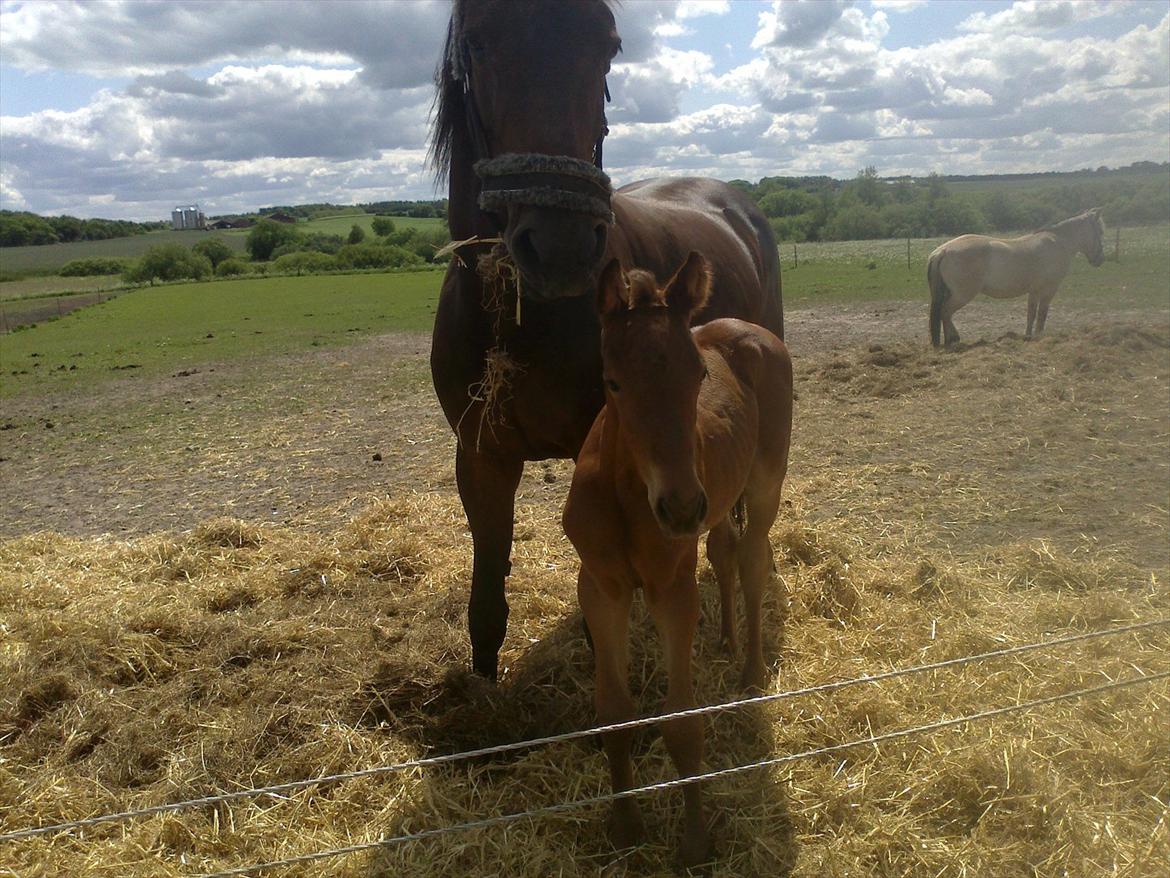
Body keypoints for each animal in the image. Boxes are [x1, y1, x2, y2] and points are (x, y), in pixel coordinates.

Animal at [430, 0, 786, 678]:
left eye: (609, 45)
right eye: (479, 43)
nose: (561, 247)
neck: (522, 317)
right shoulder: (481, 457)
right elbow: (486, 605)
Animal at [559, 252, 795, 866]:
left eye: (698, 377)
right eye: (613, 381)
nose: (682, 506)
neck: (627, 493)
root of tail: (753, 330)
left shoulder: (672, 590)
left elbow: (683, 723)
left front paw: (694, 843)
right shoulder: (601, 588)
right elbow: (615, 714)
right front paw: (625, 829)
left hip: (764, 482)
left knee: (754, 558)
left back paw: (751, 670)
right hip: (718, 508)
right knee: (723, 551)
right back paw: (726, 639)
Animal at [926, 209, 1099, 346]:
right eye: (1100, 232)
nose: (1099, 259)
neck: (1059, 242)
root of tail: (943, 250)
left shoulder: (1034, 291)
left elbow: (1031, 313)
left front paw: (1028, 335)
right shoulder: (1049, 289)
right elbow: (1042, 313)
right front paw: (1039, 335)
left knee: (944, 313)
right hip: (962, 295)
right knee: (946, 312)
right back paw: (952, 340)